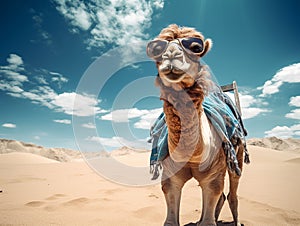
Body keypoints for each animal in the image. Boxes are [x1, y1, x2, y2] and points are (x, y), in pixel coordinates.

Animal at [146, 23, 247, 225]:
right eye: (157, 50)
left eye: (195, 47)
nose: (171, 56)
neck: (193, 155)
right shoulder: (170, 178)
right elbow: (170, 220)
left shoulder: (214, 177)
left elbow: (211, 211)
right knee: (220, 198)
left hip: (237, 156)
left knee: (232, 193)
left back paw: (237, 221)